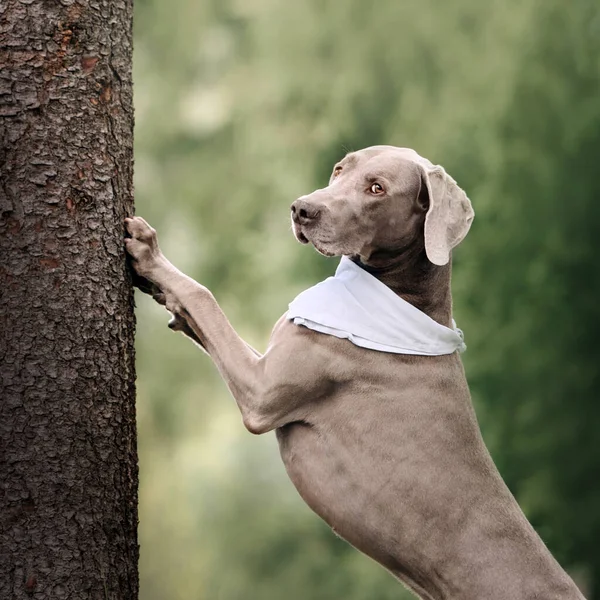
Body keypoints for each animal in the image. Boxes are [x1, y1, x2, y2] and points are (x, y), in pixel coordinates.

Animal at [124, 145, 584, 600]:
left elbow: (204, 296)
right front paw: (165, 298)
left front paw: (149, 253)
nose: (301, 209)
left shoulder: (262, 392)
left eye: (376, 188)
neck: (402, 294)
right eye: (339, 170)